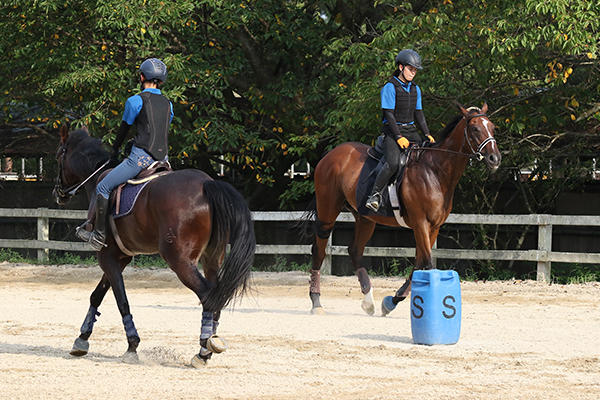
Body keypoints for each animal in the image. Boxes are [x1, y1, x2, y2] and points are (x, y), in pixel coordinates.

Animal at [52, 126, 255, 368]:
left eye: (59, 155)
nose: (57, 193)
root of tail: (207, 183)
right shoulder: (119, 257)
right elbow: (97, 295)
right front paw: (82, 339)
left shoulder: (106, 256)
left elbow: (121, 301)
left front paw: (132, 345)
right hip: (212, 258)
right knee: (216, 295)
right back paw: (209, 344)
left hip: (179, 260)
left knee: (207, 296)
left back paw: (203, 350)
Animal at [308, 103, 500, 316]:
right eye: (474, 128)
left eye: (492, 127)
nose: (494, 158)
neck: (435, 171)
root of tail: (331, 155)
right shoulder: (420, 223)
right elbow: (426, 263)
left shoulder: (434, 227)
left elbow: (419, 264)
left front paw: (392, 301)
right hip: (328, 211)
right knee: (319, 250)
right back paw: (316, 302)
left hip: (365, 218)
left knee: (355, 250)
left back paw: (368, 301)